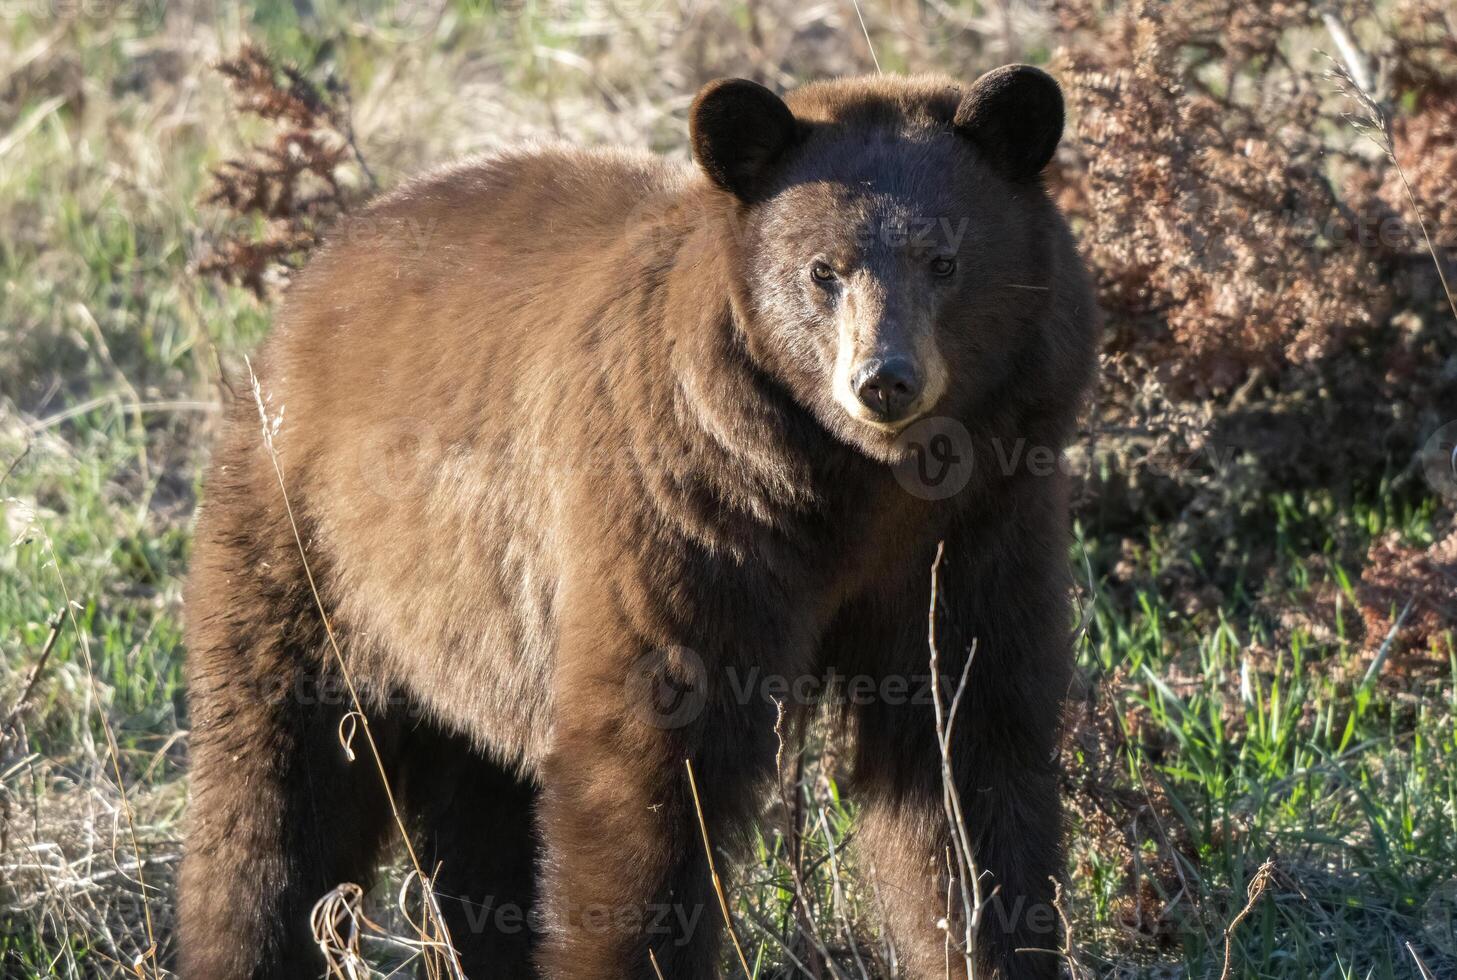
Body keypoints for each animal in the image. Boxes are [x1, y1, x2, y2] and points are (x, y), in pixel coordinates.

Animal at [179, 64, 1095, 972]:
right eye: (821, 271)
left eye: (944, 259)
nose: (884, 380)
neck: (856, 491)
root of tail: (323, 263)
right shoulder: (690, 518)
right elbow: (648, 772)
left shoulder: (974, 534)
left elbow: (964, 752)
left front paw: (988, 938)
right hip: (313, 544)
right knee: (274, 786)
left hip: (469, 633)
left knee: (477, 813)